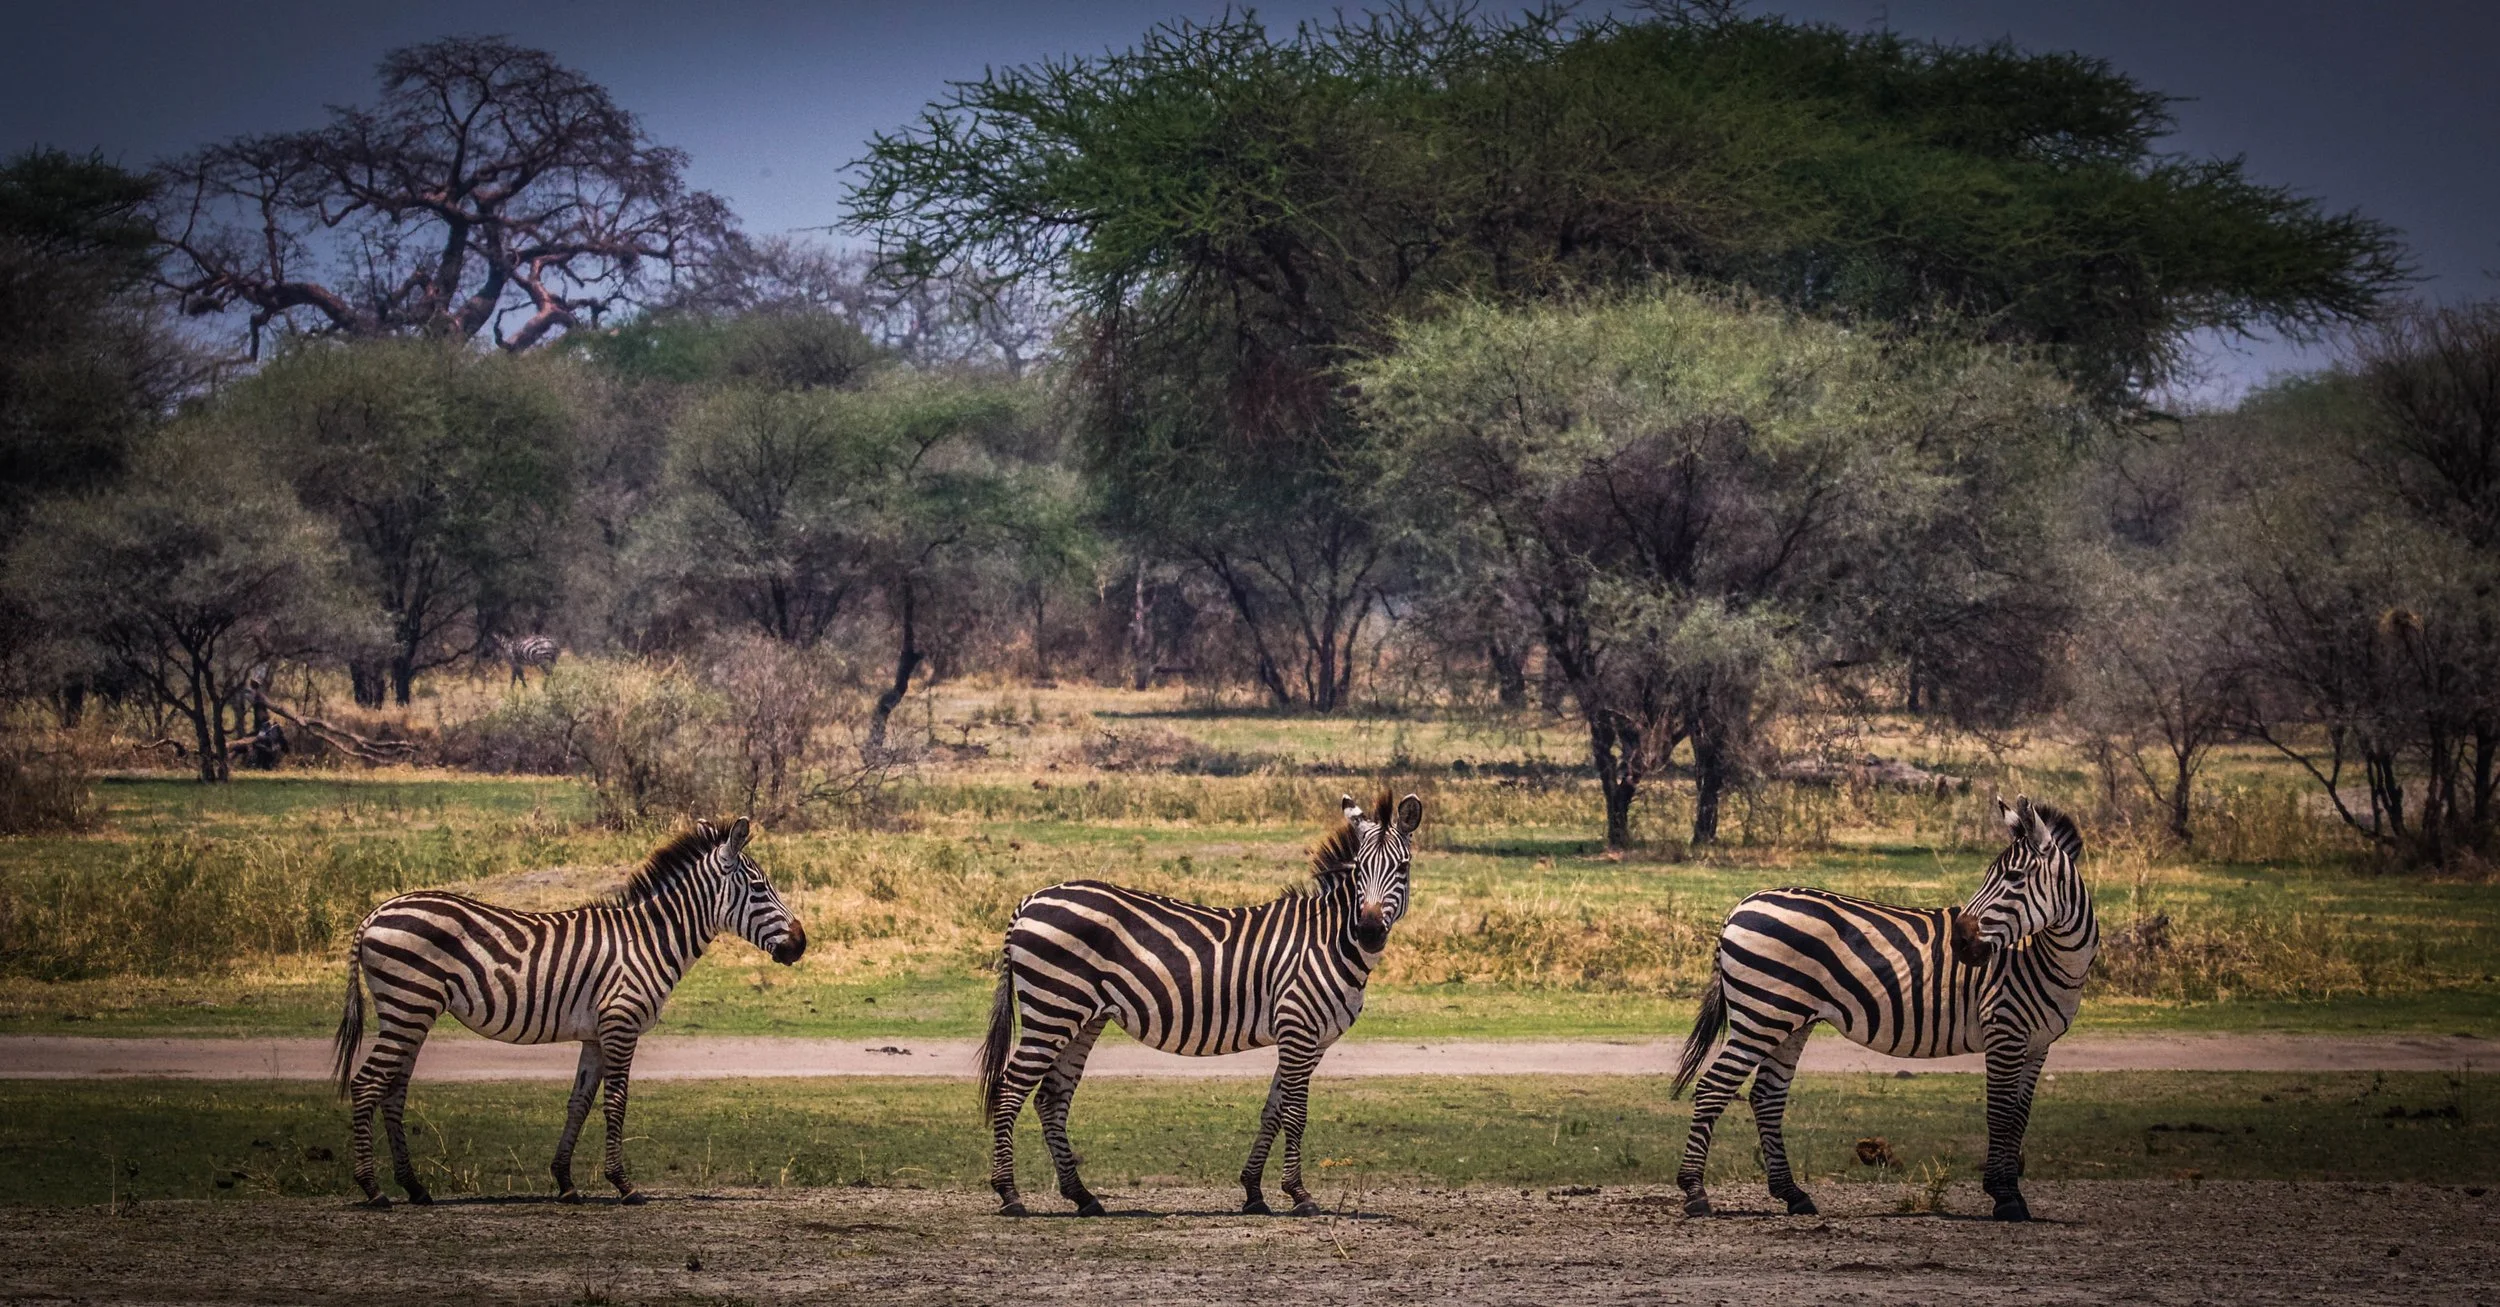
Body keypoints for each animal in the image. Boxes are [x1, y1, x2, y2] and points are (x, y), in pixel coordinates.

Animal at [332, 817, 806, 1207]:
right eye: (760, 889)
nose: (800, 945)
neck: (649, 939)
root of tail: (374, 914)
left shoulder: (596, 1033)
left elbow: (579, 1102)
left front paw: (565, 1182)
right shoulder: (621, 1023)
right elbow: (616, 1101)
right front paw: (624, 1185)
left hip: (411, 1012)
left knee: (393, 1090)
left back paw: (414, 1188)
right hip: (409, 1005)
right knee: (367, 1083)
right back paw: (373, 1190)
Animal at [978, 791, 1422, 1217]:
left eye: (1402, 868)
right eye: (1359, 870)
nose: (1369, 932)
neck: (1329, 940)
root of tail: (1028, 901)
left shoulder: (1313, 1041)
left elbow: (1274, 1110)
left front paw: (1253, 1191)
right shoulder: (1298, 1028)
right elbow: (1296, 1114)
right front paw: (1299, 1194)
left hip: (1080, 1018)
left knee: (1051, 1098)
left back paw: (1082, 1196)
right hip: (1052, 1010)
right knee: (1010, 1088)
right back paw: (1009, 1194)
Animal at [1671, 795, 2094, 1222]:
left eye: (2014, 878)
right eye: (1994, 876)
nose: (1960, 943)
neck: (2049, 958)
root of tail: (1739, 906)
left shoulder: (2037, 1045)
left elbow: (2020, 1117)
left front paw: (2013, 1194)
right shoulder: (2003, 1030)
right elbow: (2001, 1113)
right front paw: (2004, 1196)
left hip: (1791, 1021)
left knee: (1767, 1096)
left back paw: (1793, 1194)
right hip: (1762, 1016)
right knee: (1713, 1087)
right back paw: (1695, 1192)